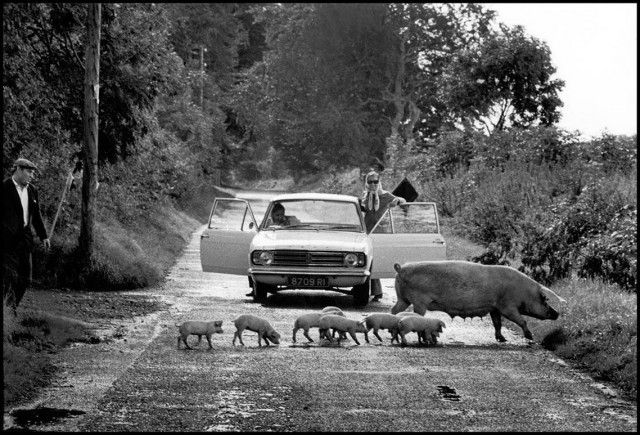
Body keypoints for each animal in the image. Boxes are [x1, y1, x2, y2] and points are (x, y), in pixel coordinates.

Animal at [390, 260, 564, 342]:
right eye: (544, 299)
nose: (557, 314)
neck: (523, 292)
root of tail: (401, 269)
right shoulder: (507, 306)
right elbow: (521, 320)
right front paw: (530, 337)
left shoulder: (494, 308)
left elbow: (497, 324)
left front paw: (502, 339)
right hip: (419, 301)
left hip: (402, 298)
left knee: (393, 311)